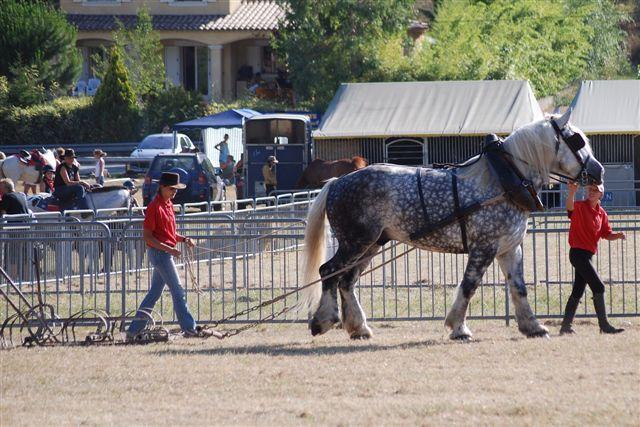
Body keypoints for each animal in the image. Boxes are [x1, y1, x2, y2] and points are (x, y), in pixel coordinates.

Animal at [298, 110, 604, 342]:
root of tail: (336, 182)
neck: (504, 180)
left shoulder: (509, 248)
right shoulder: (484, 247)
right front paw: (458, 328)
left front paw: (533, 326)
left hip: (371, 245)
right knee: (328, 272)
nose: (599, 171)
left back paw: (359, 328)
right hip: (355, 242)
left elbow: (518, 287)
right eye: (577, 141)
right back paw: (324, 320)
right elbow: (469, 285)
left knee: (347, 280)